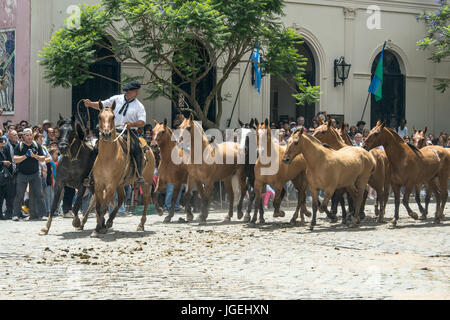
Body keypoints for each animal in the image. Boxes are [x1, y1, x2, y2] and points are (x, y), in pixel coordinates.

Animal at [90, 101, 156, 236]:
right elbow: (99, 207)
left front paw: (99, 228)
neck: (107, 157)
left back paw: (141, 225)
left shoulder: (111, 186)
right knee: (122, 199)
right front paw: (99, 226)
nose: (106, 134)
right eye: (99, 117)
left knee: (146, 199)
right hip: (121, 184)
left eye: (113, 117)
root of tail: (147, 144)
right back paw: (110, 220)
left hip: (146, 181)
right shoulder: (99, 185)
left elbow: (103, 207)